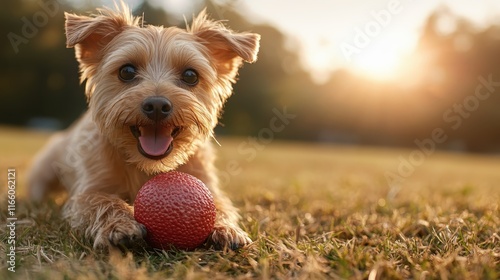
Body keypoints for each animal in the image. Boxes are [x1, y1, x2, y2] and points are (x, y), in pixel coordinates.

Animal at [26, 1, 262, 252]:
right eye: (127, 71)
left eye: (190, 75)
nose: (157, 105)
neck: (146, 166)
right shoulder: (88, 191)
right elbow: (103, 201)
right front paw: (119, 226)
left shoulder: (207, 183)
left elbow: (220, 204)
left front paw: (227, 228)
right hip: (47, 165)